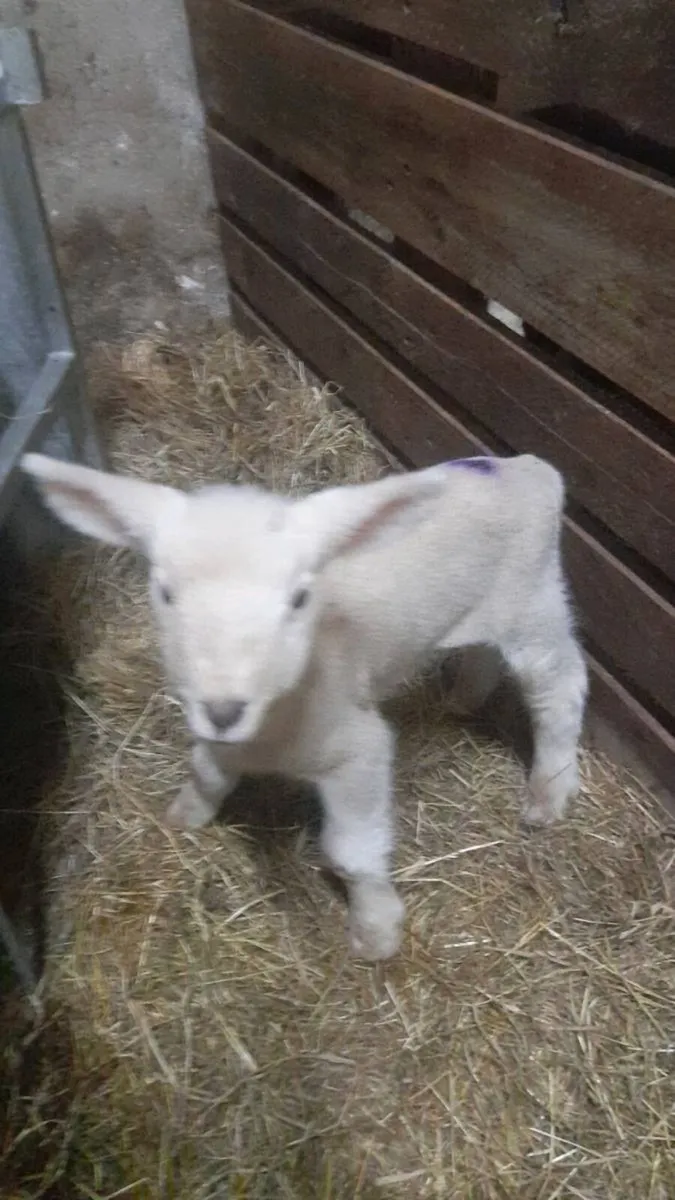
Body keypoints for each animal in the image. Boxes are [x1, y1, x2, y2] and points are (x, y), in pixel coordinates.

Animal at [22, 451, 588, 961]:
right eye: (165, 592)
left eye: (298, 599)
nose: (224, 709)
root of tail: (526, 467)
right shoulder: (219, 736)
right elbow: (207, 774)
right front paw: (184, 818)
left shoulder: (359, 750)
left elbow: (352, 852)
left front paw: (375, 931)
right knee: (484, 653)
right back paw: (461, 700)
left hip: (532, 602)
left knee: (561, 686)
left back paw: (548, 793)